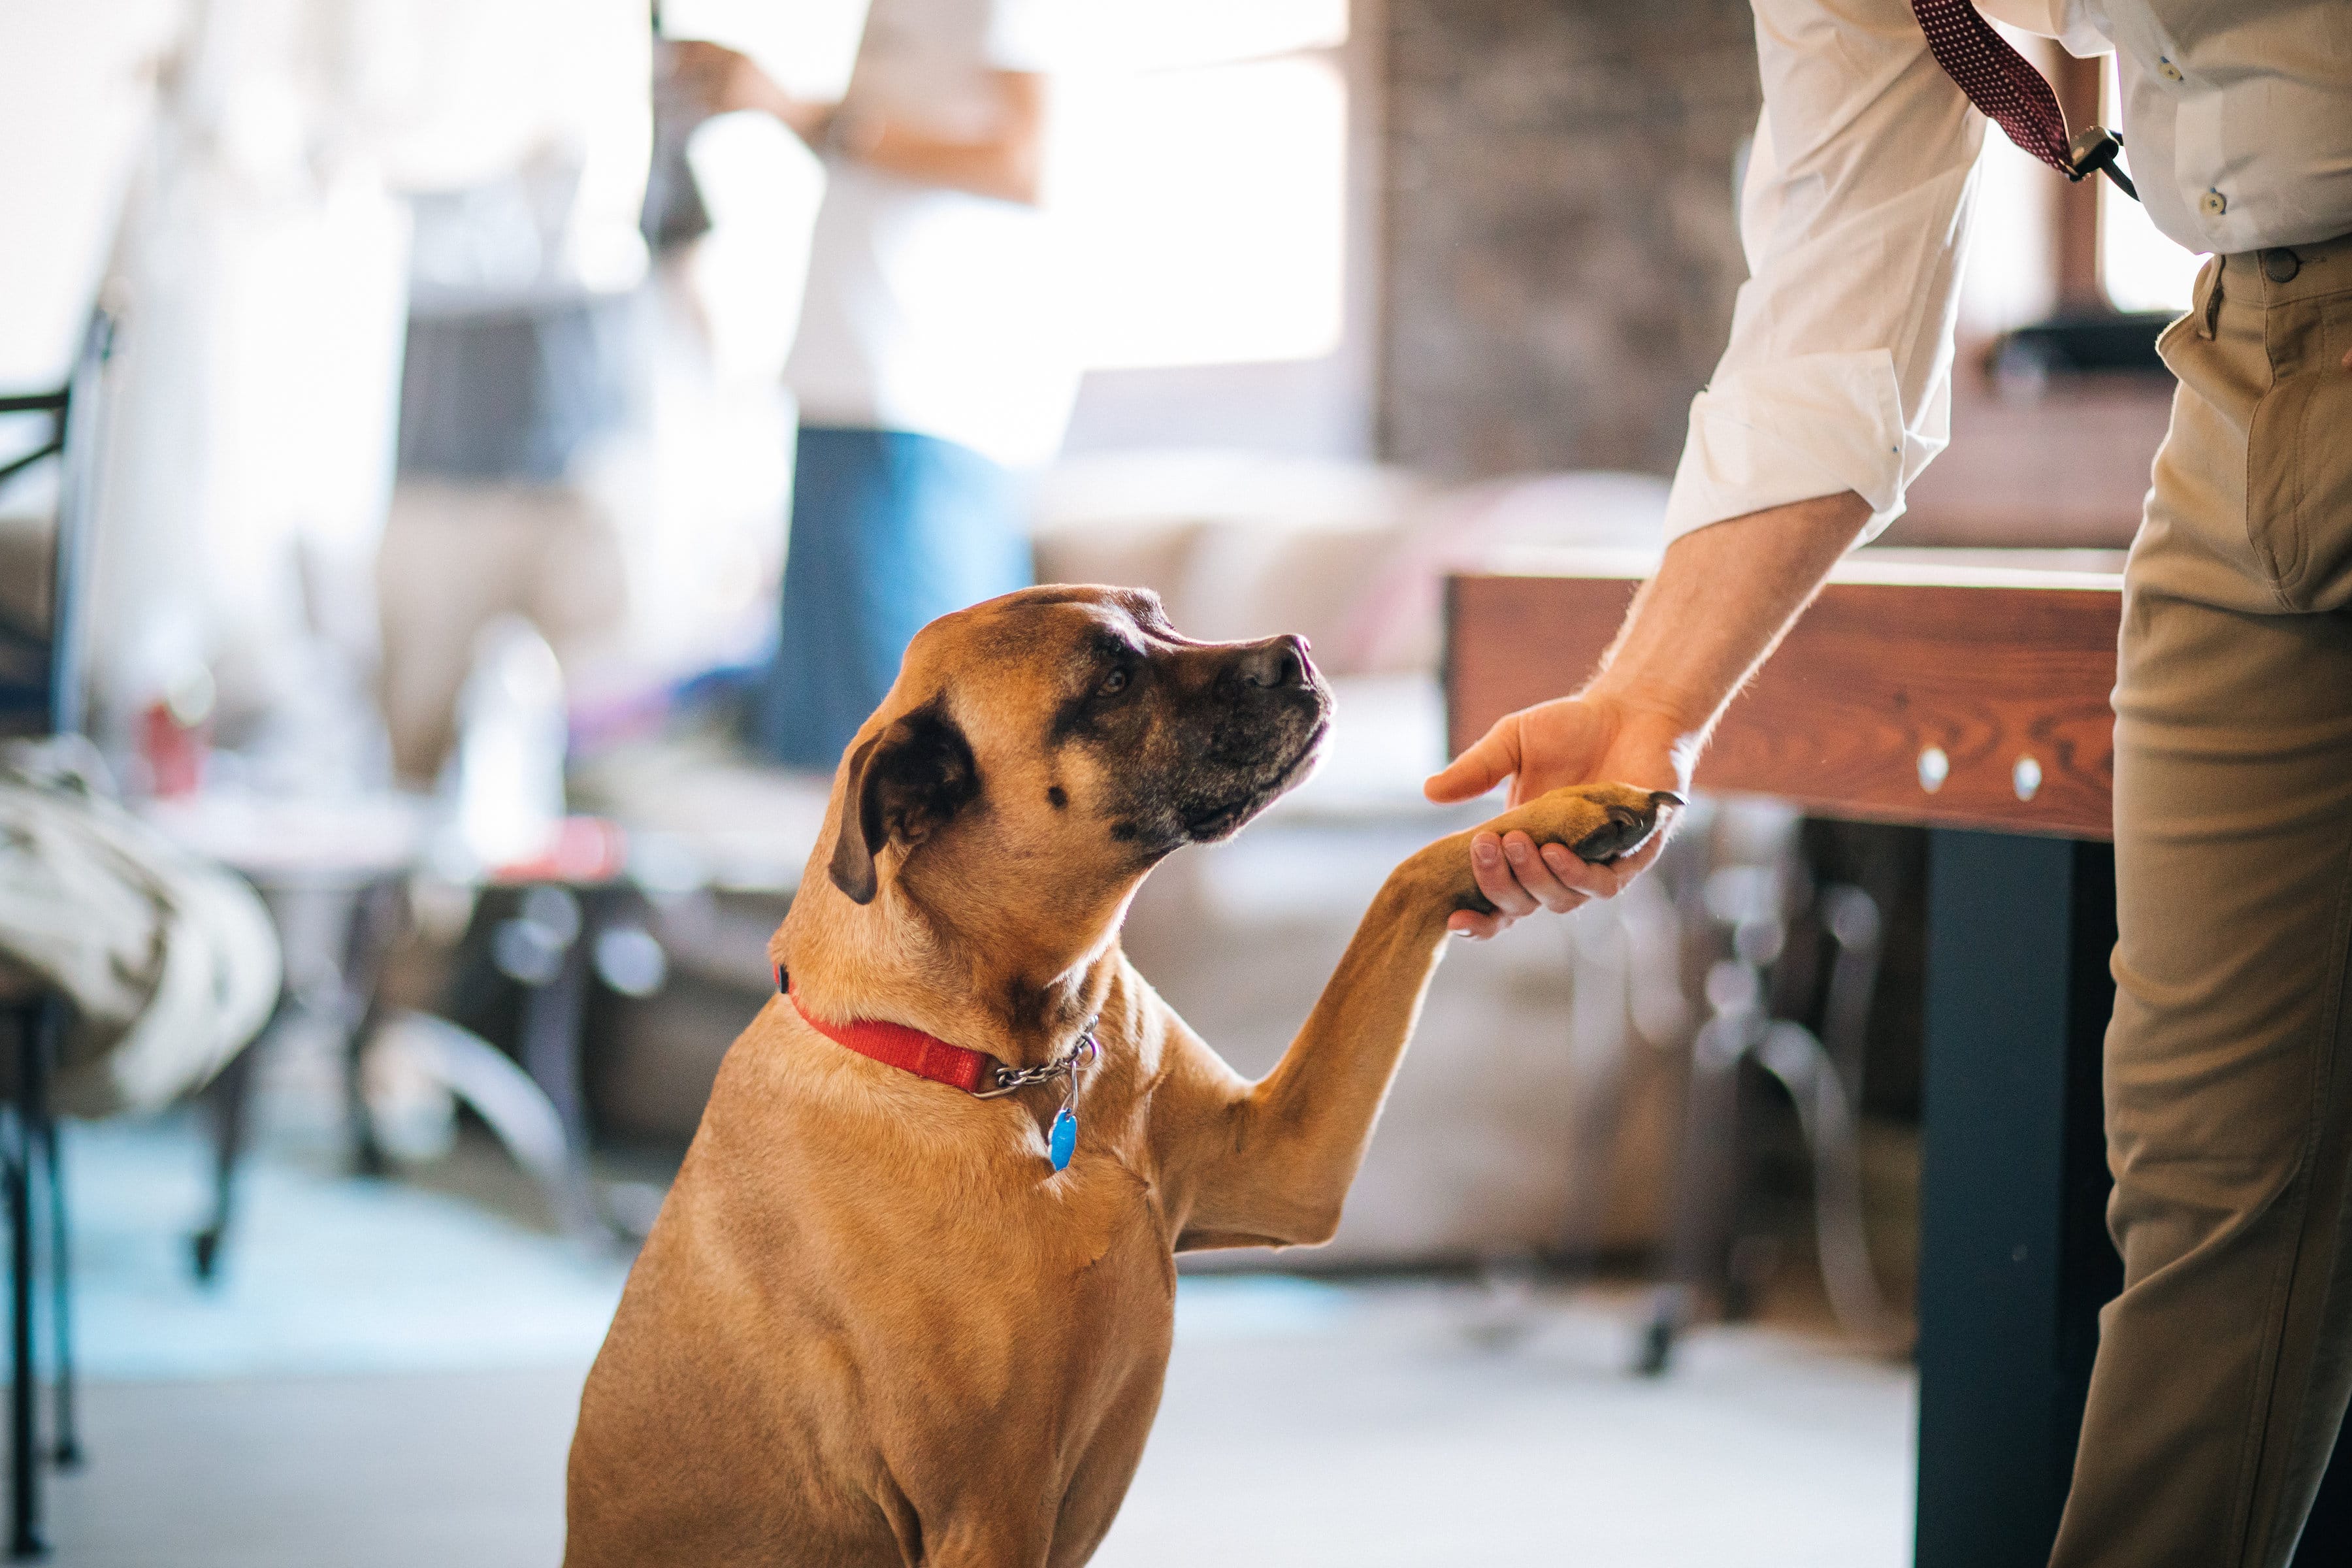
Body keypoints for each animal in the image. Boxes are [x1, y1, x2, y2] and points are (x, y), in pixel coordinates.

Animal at [564, 587, 1674, 1568]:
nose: (1298, 652)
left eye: (1162, 617)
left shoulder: (1286, 1164)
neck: (1020, 1066)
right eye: (1108, 683)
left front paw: (1567, 809)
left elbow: (1398, 884)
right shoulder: (985, 1514)